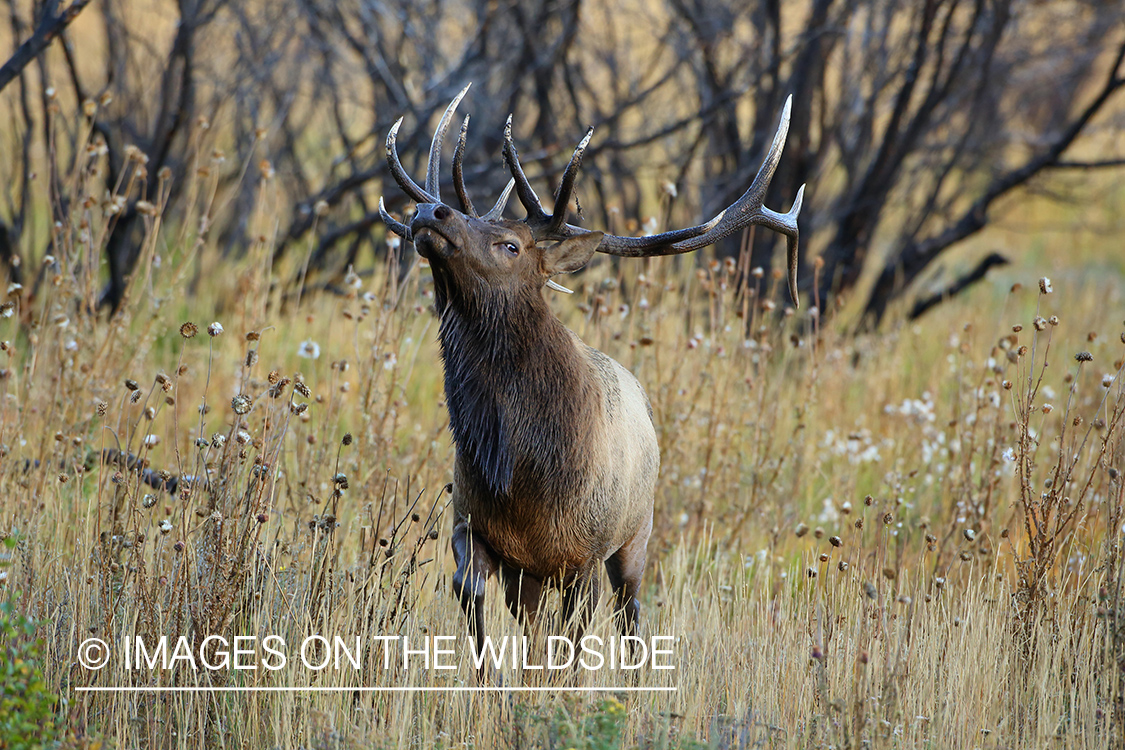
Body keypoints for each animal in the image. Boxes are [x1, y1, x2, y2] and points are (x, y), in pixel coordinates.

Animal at [382, 83, 805, 656]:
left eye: (511, 245)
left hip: (637, 532)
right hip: (535, 573)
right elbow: (472, 595)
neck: (522, 476)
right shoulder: (471, 523)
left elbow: (571, 645)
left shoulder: (586, 552)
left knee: (630, 613)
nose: (433, 210)